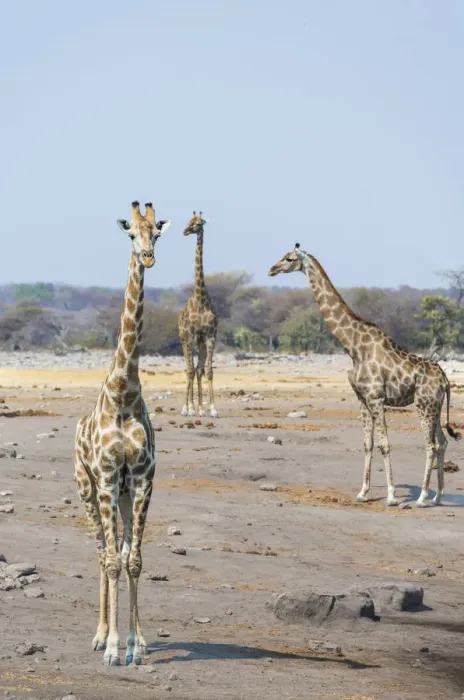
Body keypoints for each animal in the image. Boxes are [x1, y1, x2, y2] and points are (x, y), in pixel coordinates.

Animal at [269, 243, 461, 508]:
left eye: (289, 259)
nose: (272, 269)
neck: (353, 347)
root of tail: (444, 379)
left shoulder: (376, 398)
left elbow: (384, 444)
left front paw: (391, 496)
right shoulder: (361, 399)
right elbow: (367, 444)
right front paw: (363, 492)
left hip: (424, 405)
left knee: (431, 444)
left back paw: (422, 497)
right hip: (436, 406)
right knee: (442, 442)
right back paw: (437, 496)